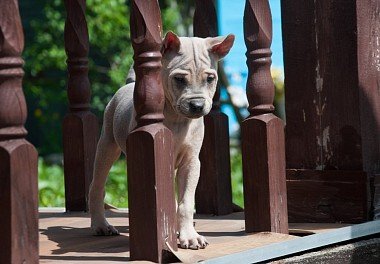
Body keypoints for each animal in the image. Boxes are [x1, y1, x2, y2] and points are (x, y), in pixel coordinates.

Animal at [88, 31, 235, 250]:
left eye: (210, 78)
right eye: (179, 79)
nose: (197, 105)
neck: (177, 120)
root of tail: (128, 85)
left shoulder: (191, 163)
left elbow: (185, 203)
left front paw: (189, 235)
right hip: (107, 146)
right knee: (97, 186)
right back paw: (100, 225)